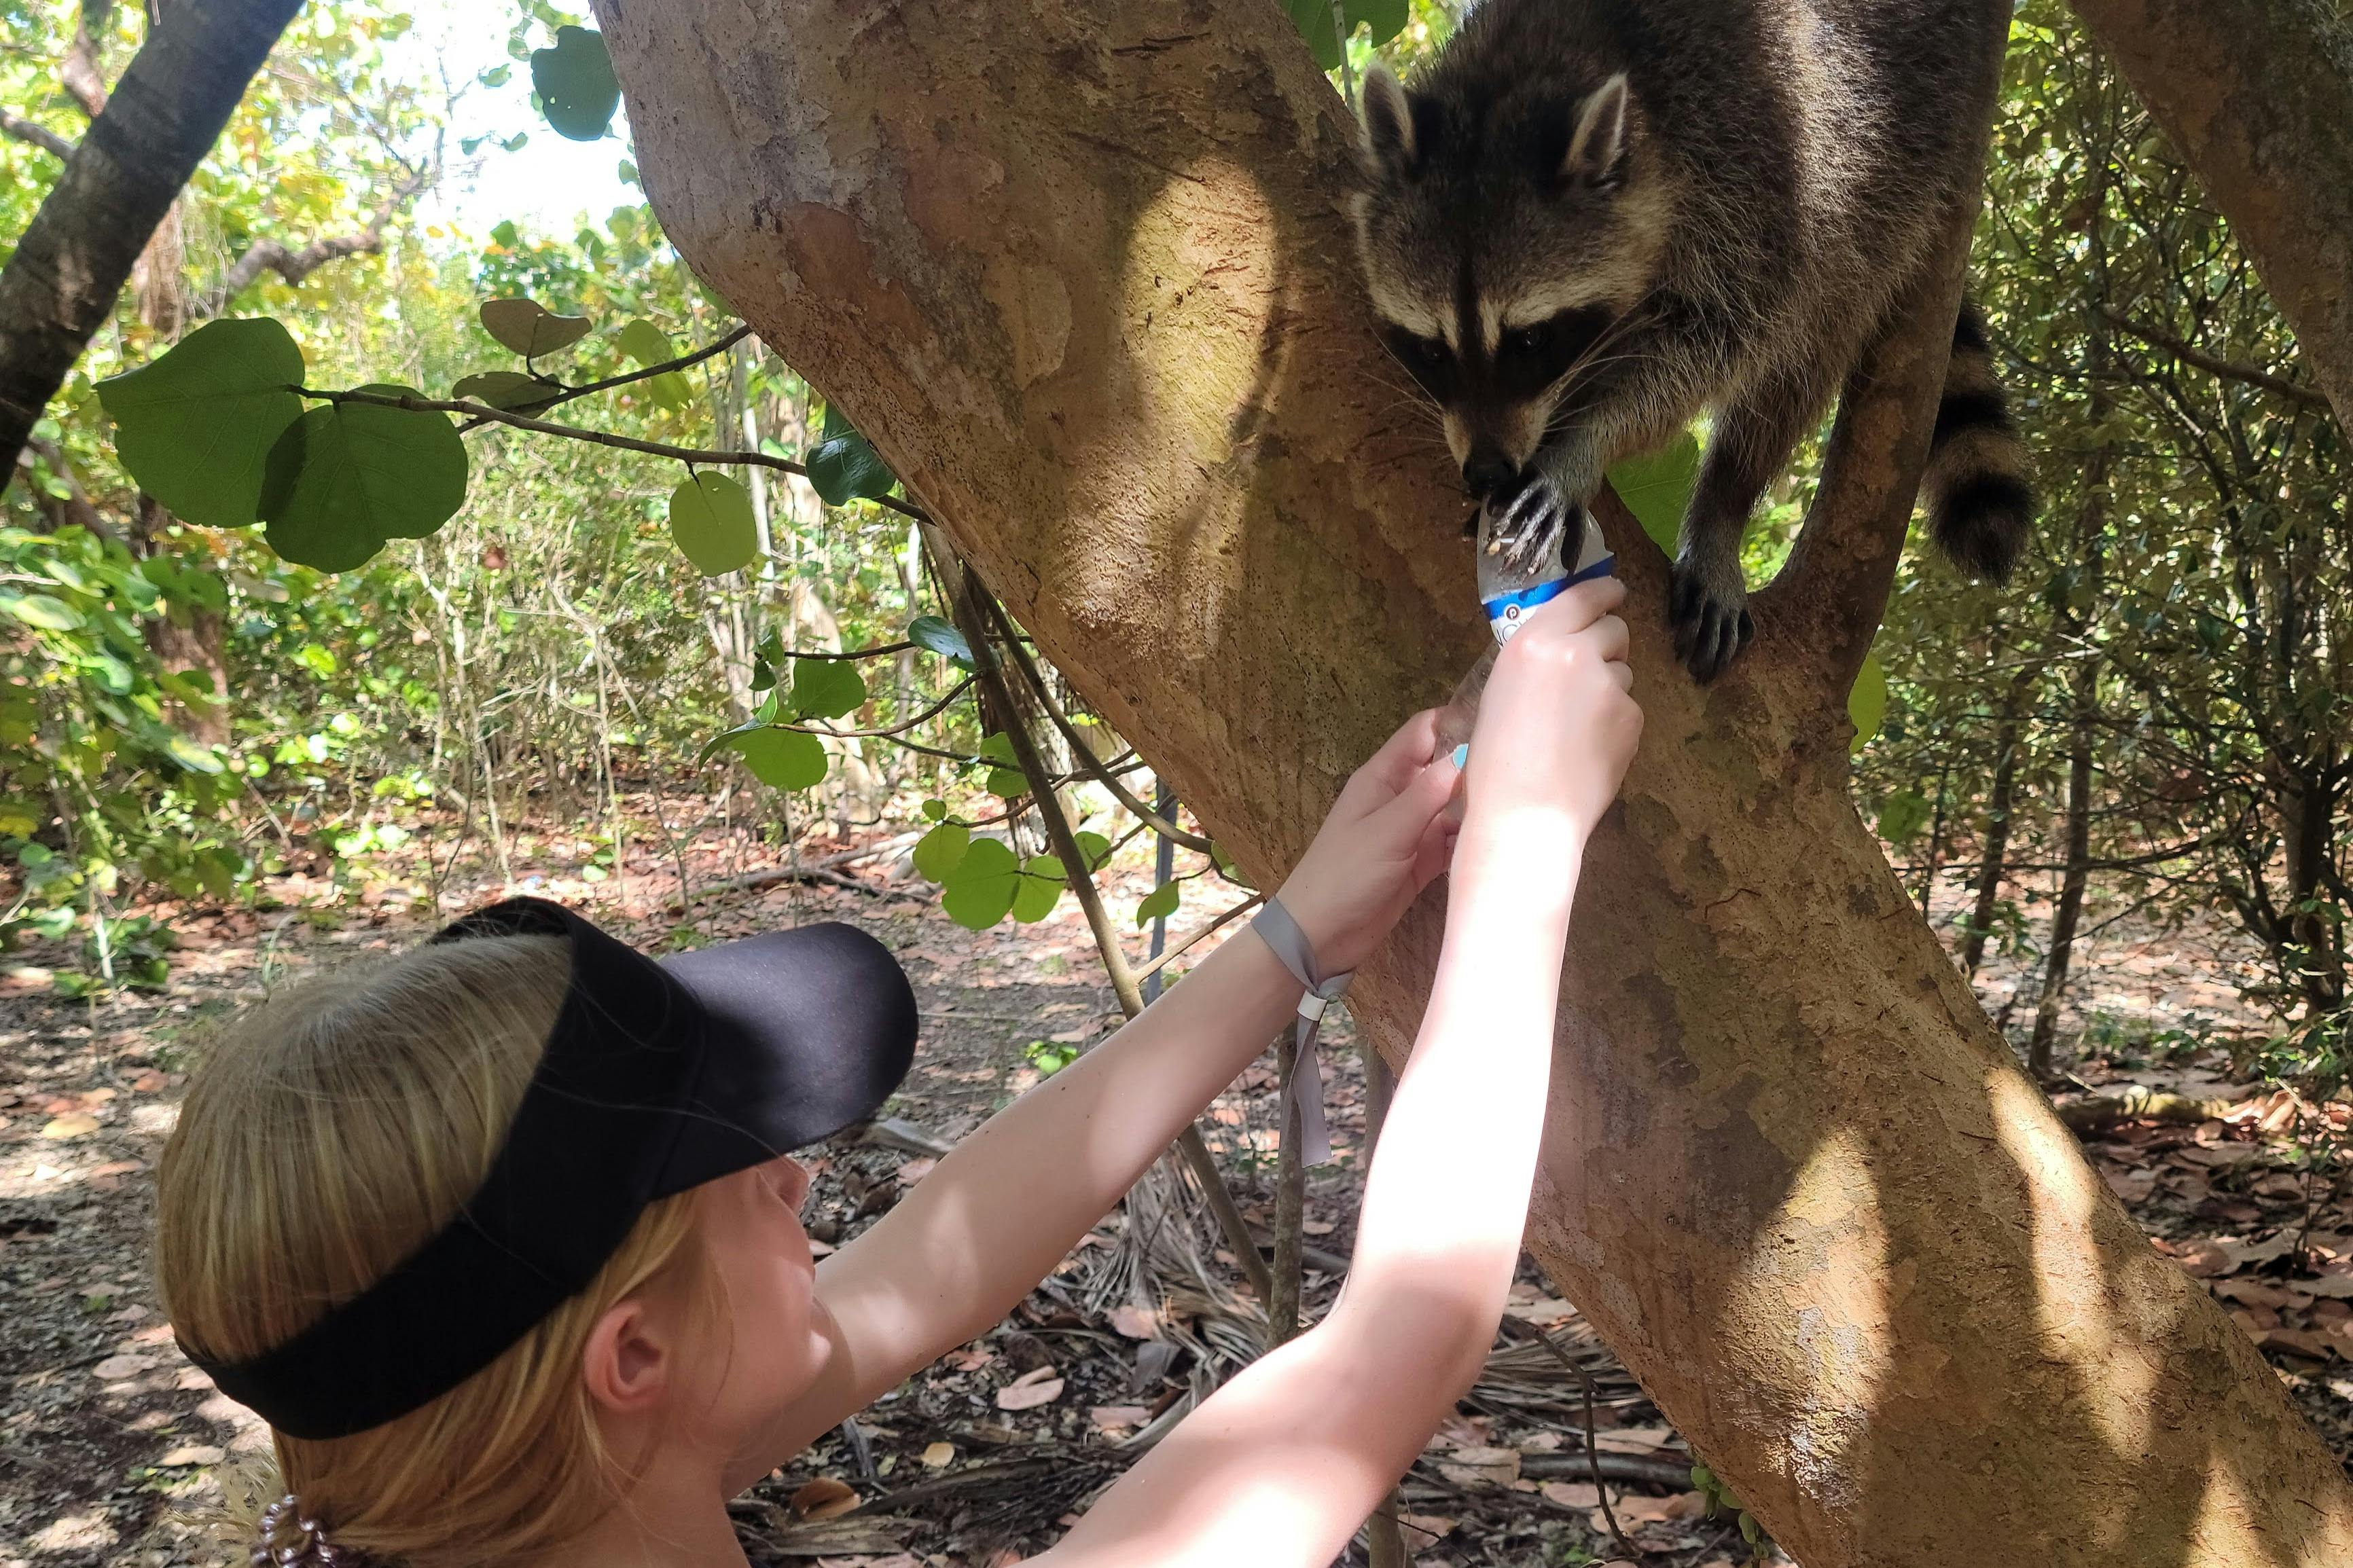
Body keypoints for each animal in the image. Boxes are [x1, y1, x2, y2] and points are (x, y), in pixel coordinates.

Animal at [1349, 0, 2034, 680]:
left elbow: (1722, 339)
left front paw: (1583, 444)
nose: (1488, 470)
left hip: (1896, 144)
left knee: (1813, 334)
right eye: (1431, 350)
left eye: (1531, 341)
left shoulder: (1755, 163)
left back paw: (1726, 501)